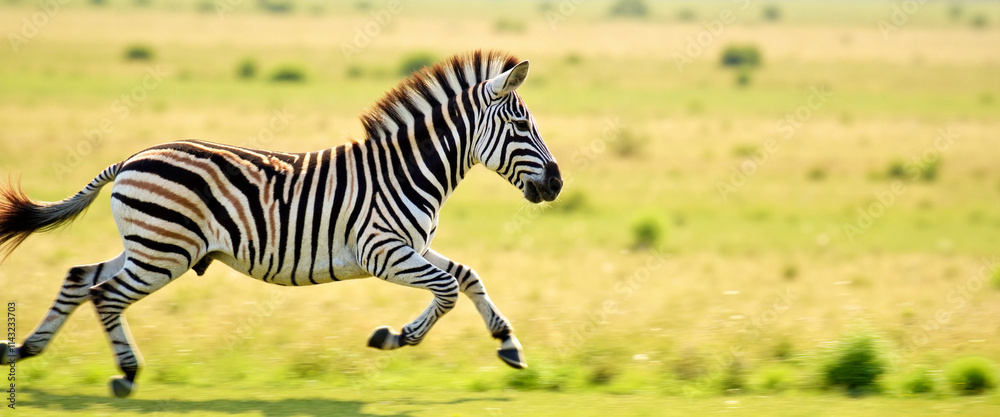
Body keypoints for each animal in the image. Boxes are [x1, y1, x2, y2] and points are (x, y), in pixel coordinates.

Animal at [0, 50, 562, 398]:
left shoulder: (412, 246)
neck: (405, 171)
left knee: (80, 277)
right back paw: (126, 374)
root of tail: (131, 159)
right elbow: (446, 289)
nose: (556, 183)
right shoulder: (381, 250)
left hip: (148, 245)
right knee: (105, 294)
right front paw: (397, 337)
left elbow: (468, 276)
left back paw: (24, 348)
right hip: (165, 251)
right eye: (521, 125)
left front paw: (508, 343)